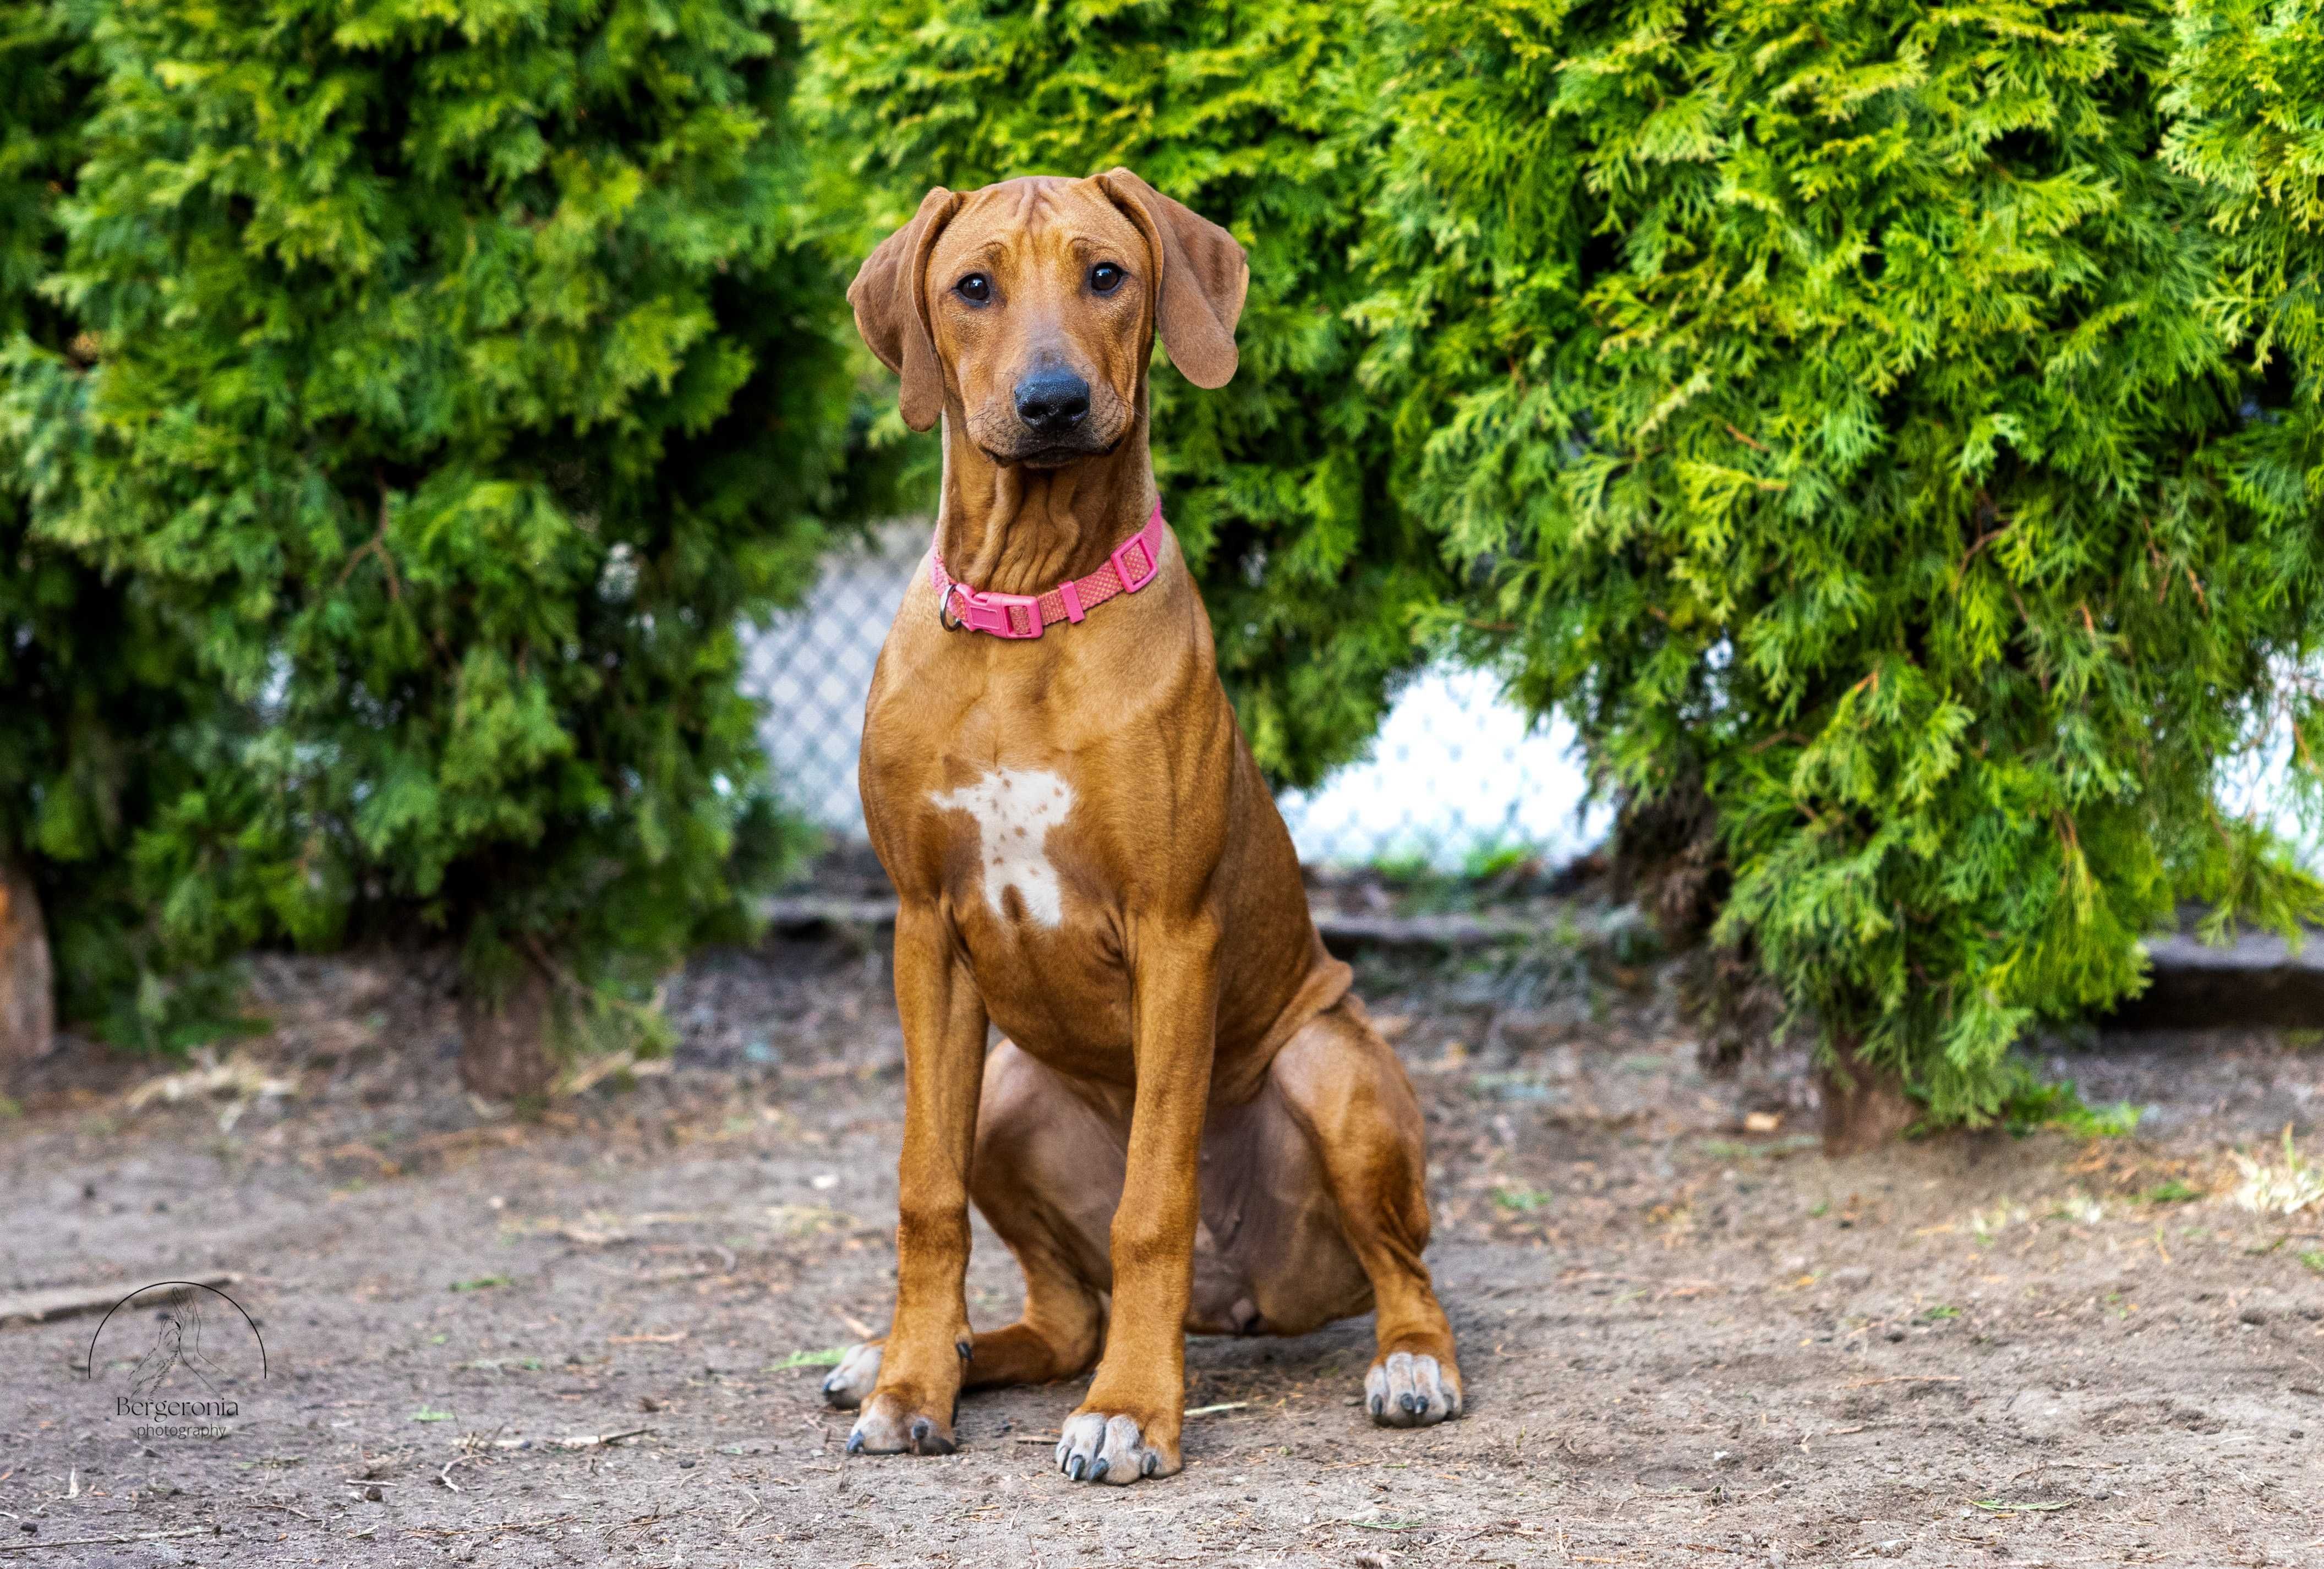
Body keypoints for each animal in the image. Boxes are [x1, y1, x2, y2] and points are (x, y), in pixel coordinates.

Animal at [827, 168, 1459, 1488]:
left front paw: (1130, 1413)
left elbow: (1152, 1200)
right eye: (972, 286)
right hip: (1010, 1092)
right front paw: (910, 1386)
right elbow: (923, 1191)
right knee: (1066, 1316)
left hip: (1332, 1072)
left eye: (1105, 275)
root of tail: (1241, 1299)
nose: (1053, 402)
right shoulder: (921, 931)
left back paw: (1410, 1365)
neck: (1029, 605)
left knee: (1405, 1272)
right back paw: (941, 1354)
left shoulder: (1175, 935)